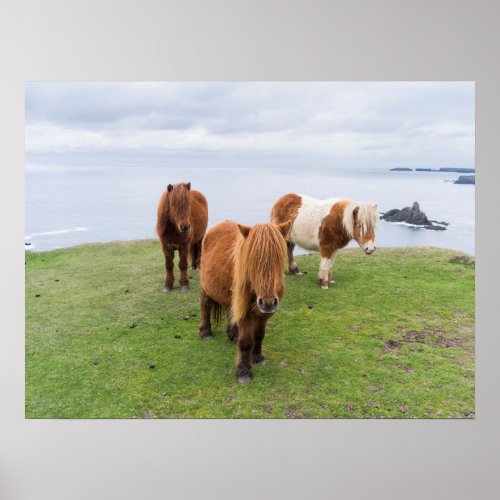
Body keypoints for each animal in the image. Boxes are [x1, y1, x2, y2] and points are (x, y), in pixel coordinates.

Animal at [198, 221, 292, 384]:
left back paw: (233, 334)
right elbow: (246, 342)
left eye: (279, 258)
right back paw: (206, 332)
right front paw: (243, 371)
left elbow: (259, 335)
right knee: (205, 307)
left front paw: (258, 357)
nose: (268, 302)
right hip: (206, 289)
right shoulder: (246, 314)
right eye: (252, 261)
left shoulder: (264, 315)